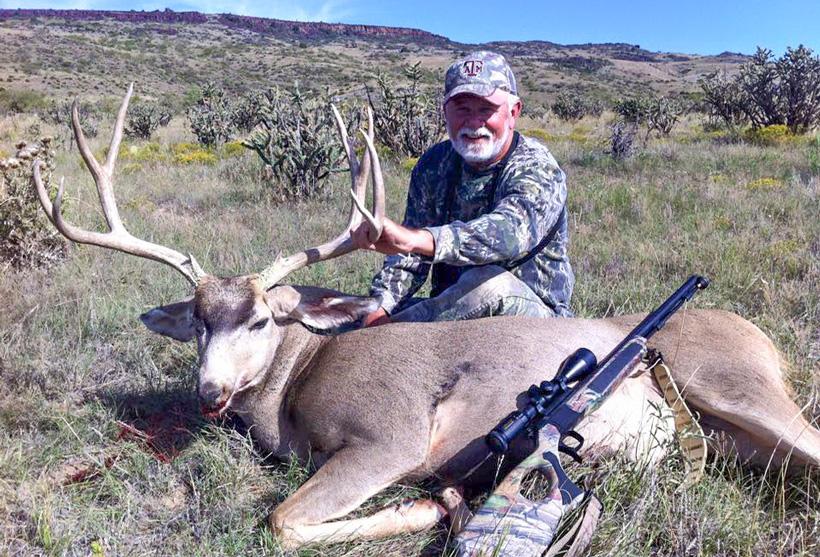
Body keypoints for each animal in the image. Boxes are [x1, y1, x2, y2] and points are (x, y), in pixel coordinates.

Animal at [33, 86, 820, 550]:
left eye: (261, 320)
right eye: (197, 321)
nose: (210, 392)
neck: (295, 388)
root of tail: (761, 335)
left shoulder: (393, 432)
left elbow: (282, 518)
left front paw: (433, 506)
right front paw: (440, 504)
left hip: (735, 382)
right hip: (732, 438)